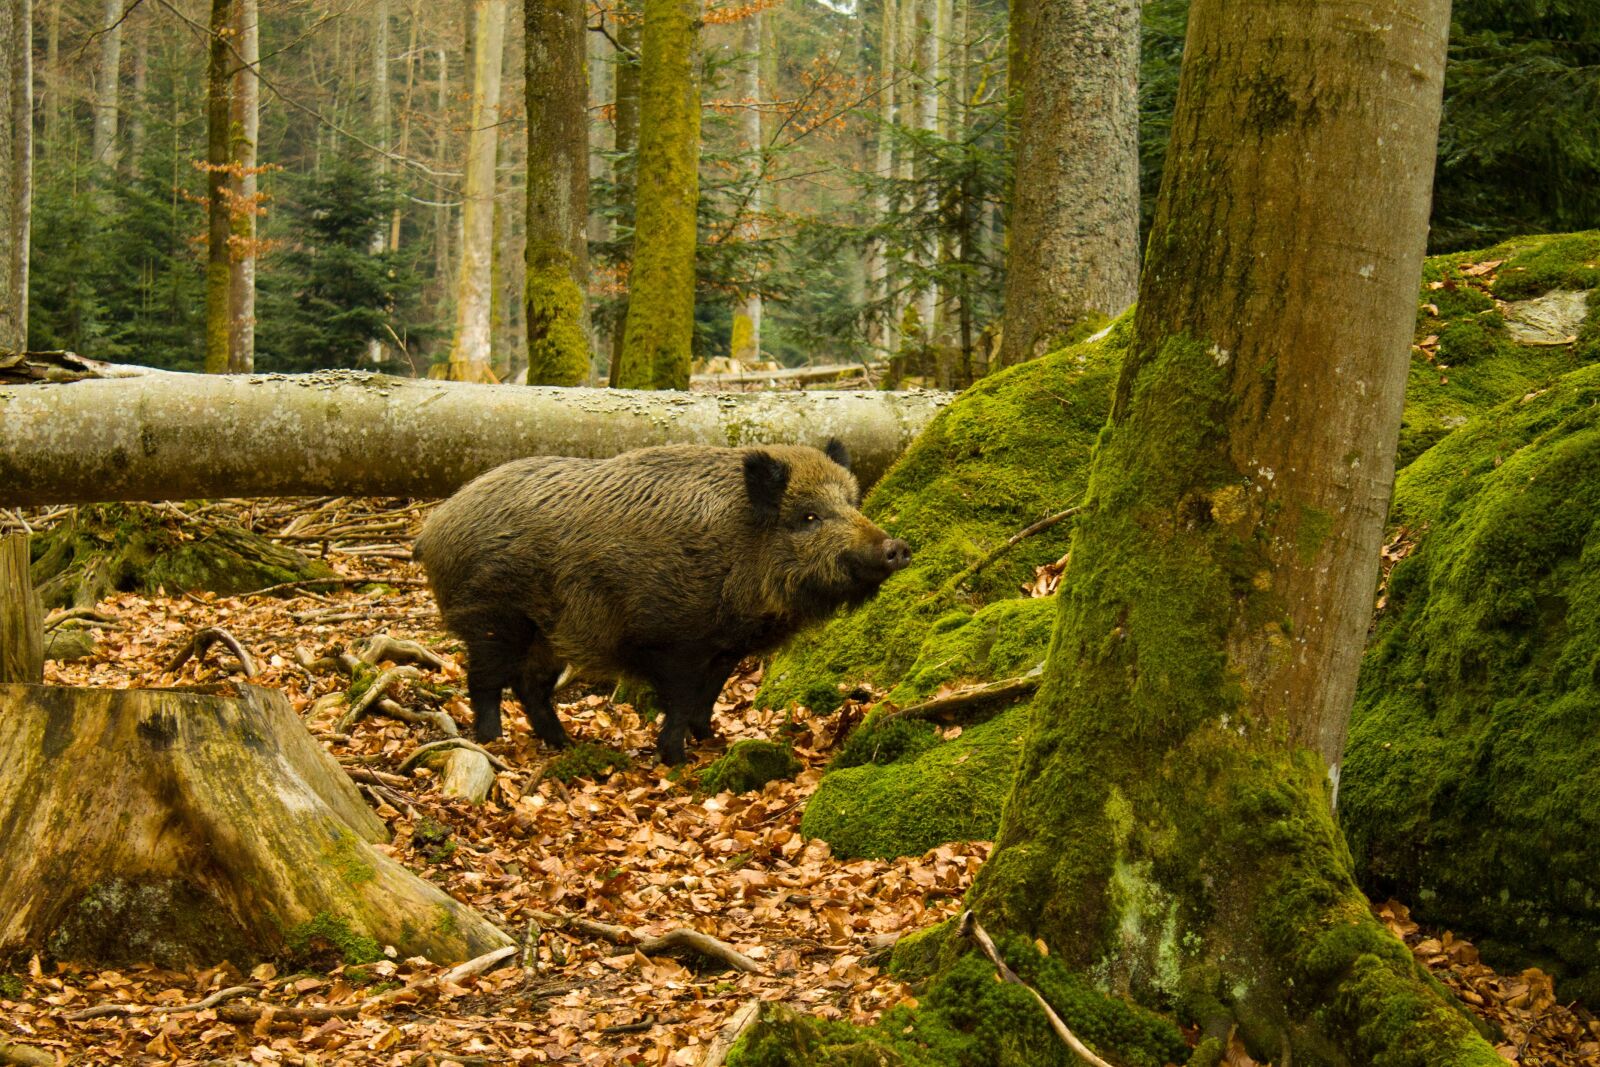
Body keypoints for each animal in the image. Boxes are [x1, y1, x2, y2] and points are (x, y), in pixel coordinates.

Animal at [413, 441, 911, 763]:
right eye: (808, 517)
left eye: (851, 503)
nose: (898, 547)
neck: (738, 549)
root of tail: (434, 525)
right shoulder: (674, 642)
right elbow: (681, 701)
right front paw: (676, 759)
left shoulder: (724, 649)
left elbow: (707, 698)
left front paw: (712, 742)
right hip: (493, 619)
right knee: (485, 682)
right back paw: (493, 743)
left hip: (545, 636)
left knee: (530, 686)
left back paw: (565, 746)